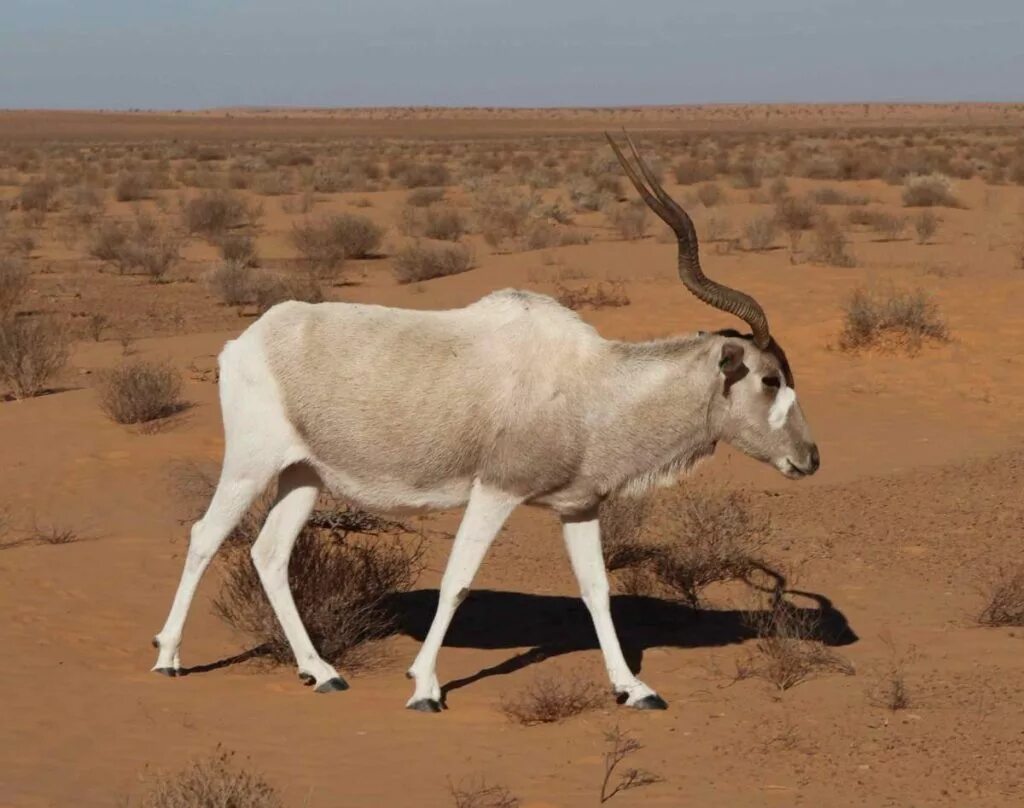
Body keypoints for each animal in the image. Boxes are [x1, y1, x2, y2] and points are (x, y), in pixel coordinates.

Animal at [151, 135, 819, 708]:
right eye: (769, 379)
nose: (809, 457)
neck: (592, 384)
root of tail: (245, 340)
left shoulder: (578, 506)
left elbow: (598, 590)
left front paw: (633, 688)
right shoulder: (496, 491)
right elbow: (457, 582)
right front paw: (424, 686)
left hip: (304, 474)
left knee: (269, 553)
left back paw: (322, 672)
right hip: (251, 461)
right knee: (206, 536)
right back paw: (169, 658)